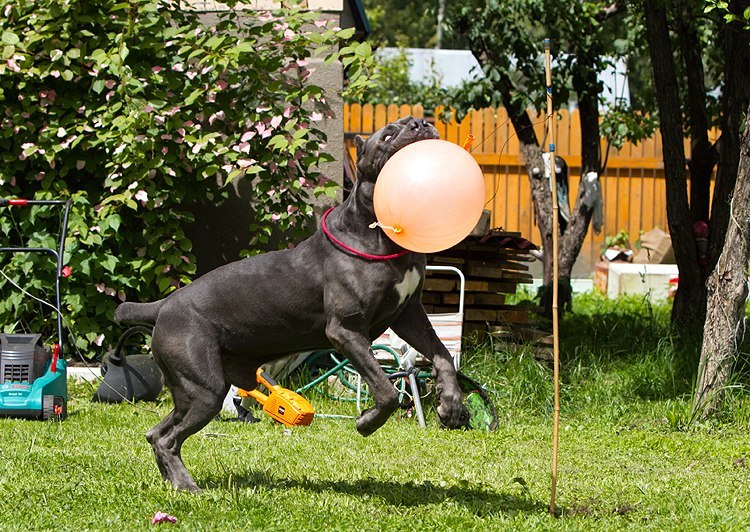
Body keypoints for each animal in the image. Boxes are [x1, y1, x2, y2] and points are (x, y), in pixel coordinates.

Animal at [116, 115, 470, 490]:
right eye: (388, 135)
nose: (420, 123)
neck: (378, 232)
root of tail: (163, 306)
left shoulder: (408, 314)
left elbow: (442, 355)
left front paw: (451, 406)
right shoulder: (345, 330)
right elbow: (385, 388)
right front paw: (367, 422)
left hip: (194, 388)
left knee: (157, 433)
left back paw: (174, 480)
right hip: (202, 387)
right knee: (169, 438)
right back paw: (186, 486)